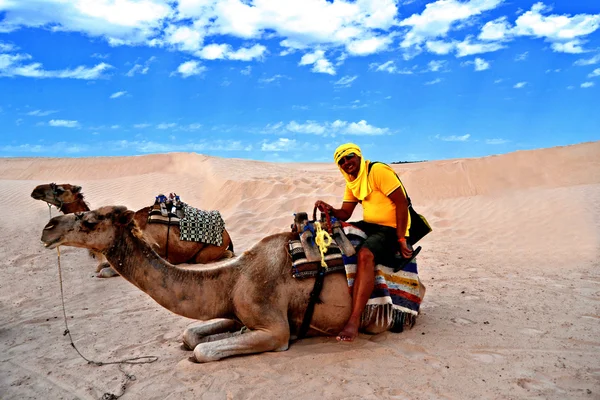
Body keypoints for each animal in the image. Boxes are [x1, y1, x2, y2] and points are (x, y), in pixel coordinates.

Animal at [30, 183, 233, 276]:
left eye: (59, 189)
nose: (35, 190)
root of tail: (227, 235)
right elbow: (99, 267)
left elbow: (104, 271)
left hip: (208, 252)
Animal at [39, 206, 424, 362]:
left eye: (90, 221)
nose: (49, 227)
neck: (235, 276)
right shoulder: (235, 309)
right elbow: (190, 334)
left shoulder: (275, 329)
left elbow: (202, 351)